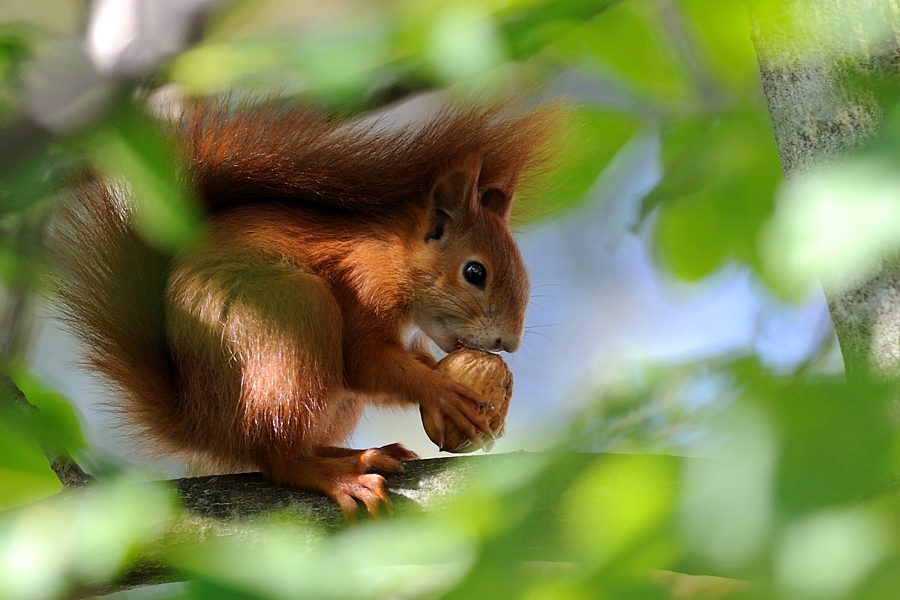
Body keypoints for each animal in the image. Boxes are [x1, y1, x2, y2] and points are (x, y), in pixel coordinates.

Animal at [52, 97, 556, 516]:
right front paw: (442, 391)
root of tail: (201, 422)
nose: (507, 343)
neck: (393, 256)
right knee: (279, 458)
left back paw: (358, 455)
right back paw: (340, 478)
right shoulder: (363, 286)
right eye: (475, 272)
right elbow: (366, 362)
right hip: (295, 319)